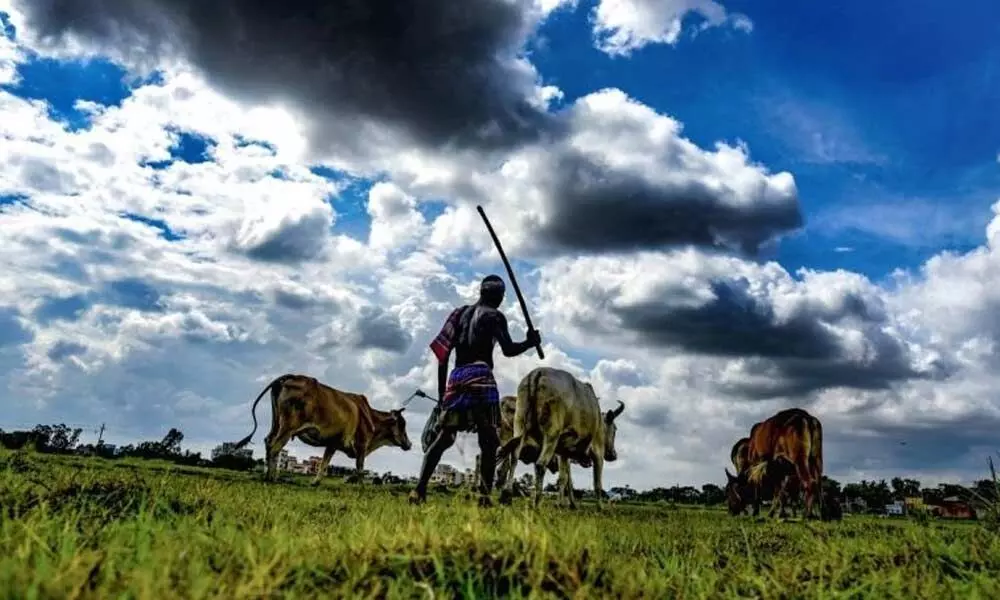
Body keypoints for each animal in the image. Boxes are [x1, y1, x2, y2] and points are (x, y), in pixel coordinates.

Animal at [232, 372, 412, 486]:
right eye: (402, 424)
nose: (409, 444)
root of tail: (292, 376)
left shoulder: (332, 443)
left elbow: (324, 463)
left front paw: (315, 482)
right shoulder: (361, 444)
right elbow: (360, 468)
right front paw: (361, 486)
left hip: (276, 422)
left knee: (268, 441)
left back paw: (268, 476)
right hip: (288, 427)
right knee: (275, 446)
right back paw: (271, 478)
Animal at [494, 364, 624, 508]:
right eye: (615, 429)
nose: (613, 455)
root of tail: (537, 372)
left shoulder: (564, 453)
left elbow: (564, 478)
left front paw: (564, 504)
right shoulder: (597, 452)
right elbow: (596, 483)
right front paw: (599, 507)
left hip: (520, 424)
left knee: (513, 459)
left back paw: (506, 496)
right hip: (551, 433)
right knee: (539, 464)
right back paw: (536, 503)